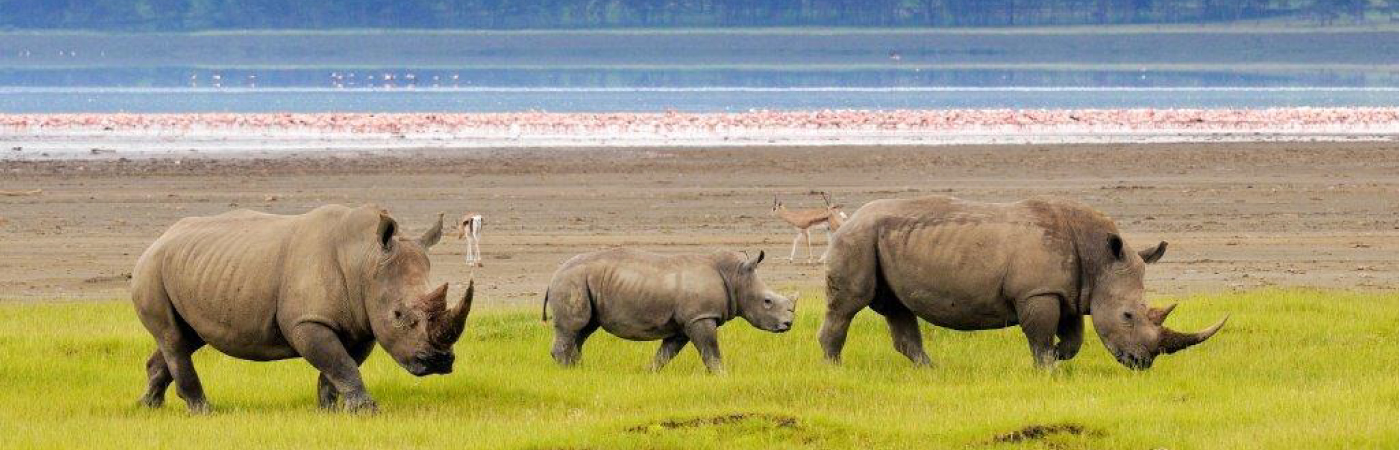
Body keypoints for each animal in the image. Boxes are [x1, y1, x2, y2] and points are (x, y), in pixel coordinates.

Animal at [130, 205, 472, 413]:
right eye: (399, 316)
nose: (439, 362)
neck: (365, 259)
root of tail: (159, 238)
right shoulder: (307, 322)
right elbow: (340, 363)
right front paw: (367, 410)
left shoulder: (362, 325)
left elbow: (340, 365)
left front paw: (330, 410)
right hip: (151, 270)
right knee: (174, 339)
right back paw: (203, 410)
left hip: (194, 269)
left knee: (185, 338)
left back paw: (148, 406)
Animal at [542, 248, 795, 373]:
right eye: (767, 301)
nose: (788, 324)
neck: (735, 277)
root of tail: (553, 276)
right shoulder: (700, 316)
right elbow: (710, 351)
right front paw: (723, 376)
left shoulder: (685, 323)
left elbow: (666, 353)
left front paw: (648, 373)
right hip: (571, 281)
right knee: (572, 328)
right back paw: (568, 373)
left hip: (582, 282)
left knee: (583, 330)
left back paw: (579, 371)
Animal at [820, 195, 1226, 370]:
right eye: (1128, 315)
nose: (1143, 364)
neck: (1099, 257)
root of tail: (846, 220)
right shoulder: (1037, 292)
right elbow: (1040, 335)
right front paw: (1047, 369)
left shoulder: (1069, 292)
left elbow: (1075, 338)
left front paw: (1060, 360)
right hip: (857, 240)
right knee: (847, 306)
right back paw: (835, 369)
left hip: (881, 241)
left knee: (898, 310)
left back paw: (931, 371)